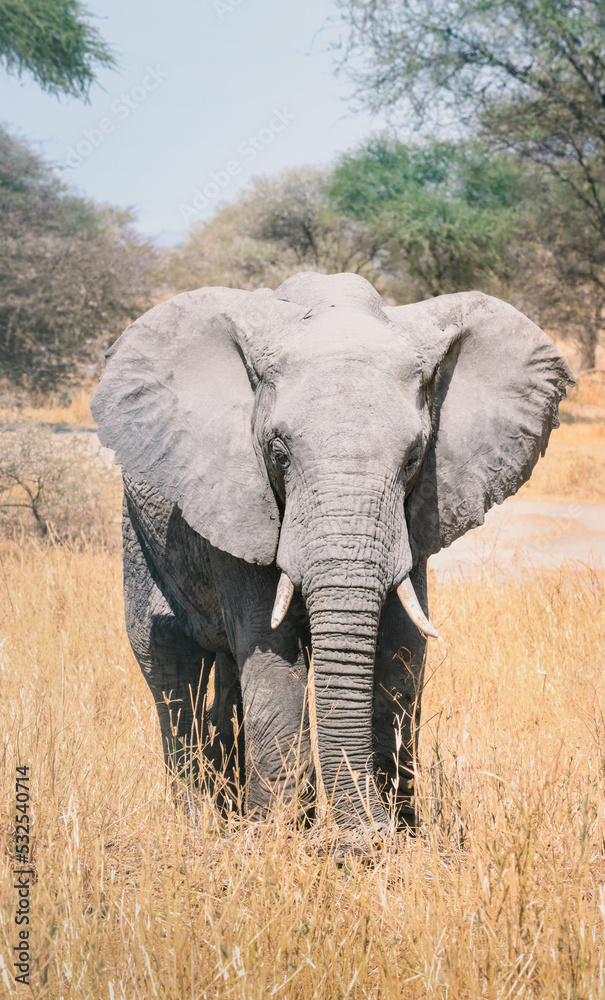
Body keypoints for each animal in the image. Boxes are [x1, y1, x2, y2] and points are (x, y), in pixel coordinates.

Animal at [91, 271, 574, 833]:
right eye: (278, 453)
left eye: (414, 457)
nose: (366, 832)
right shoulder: (239, 498)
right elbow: (270, 648)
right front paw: (279, 837)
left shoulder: (416, 518)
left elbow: (402, 651)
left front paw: (394, 835)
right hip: (138, 529)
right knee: (167, 662)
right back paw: (199, 823)